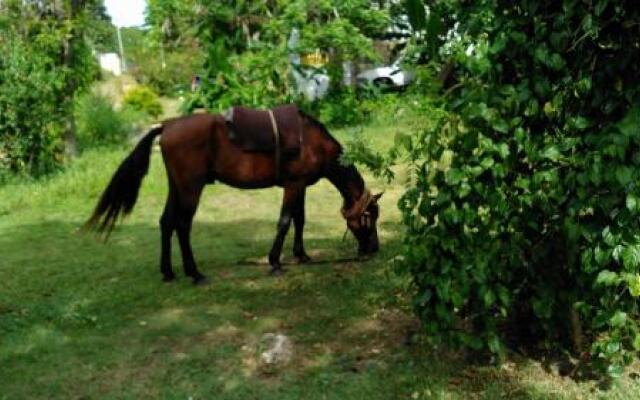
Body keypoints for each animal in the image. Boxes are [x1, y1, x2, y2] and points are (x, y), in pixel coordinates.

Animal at [87, 110, 382, 284]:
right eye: (369, 218)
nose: (374, 249)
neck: (312, 142)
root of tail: (168, 125)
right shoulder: (293, 185)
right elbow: (285, 221)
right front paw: (275, 262)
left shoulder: (300, 187)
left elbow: (299, 219)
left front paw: (301, 255)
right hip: (191, 188)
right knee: (182, 225)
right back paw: (194, 273)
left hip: (177, 187)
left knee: (166, 222)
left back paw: (169, 271)